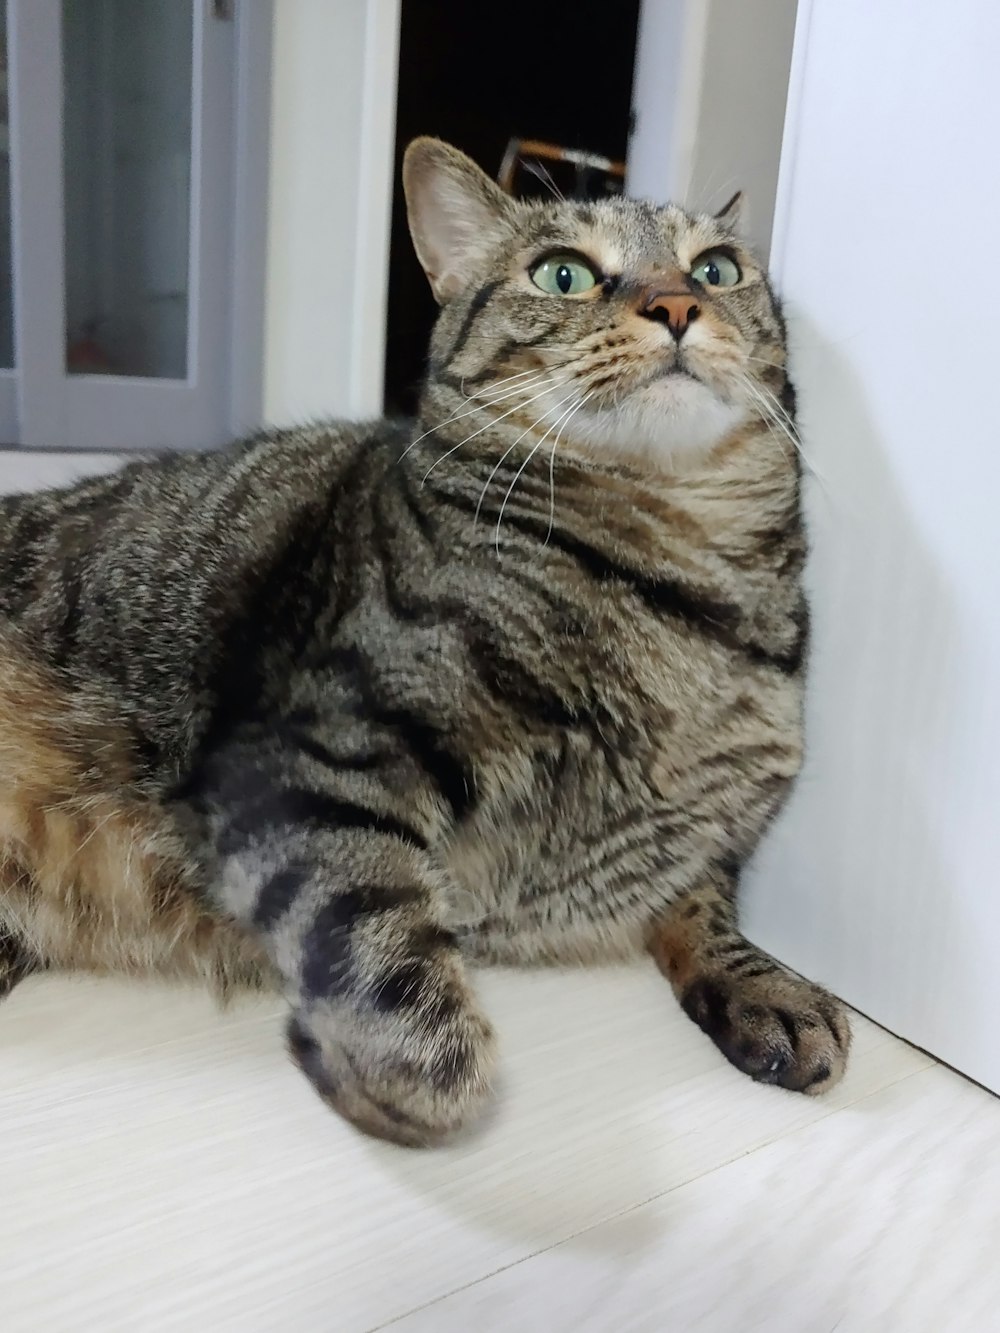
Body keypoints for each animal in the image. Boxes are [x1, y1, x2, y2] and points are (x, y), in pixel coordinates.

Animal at [0, 143, 848, 1146]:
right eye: (563, 273)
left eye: (716, 268)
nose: (678, 305)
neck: (688, 588)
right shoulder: (308, 755)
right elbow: (376, 934)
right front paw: (391, 1069)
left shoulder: (708, 831)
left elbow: (707, 906)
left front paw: (768, 986)